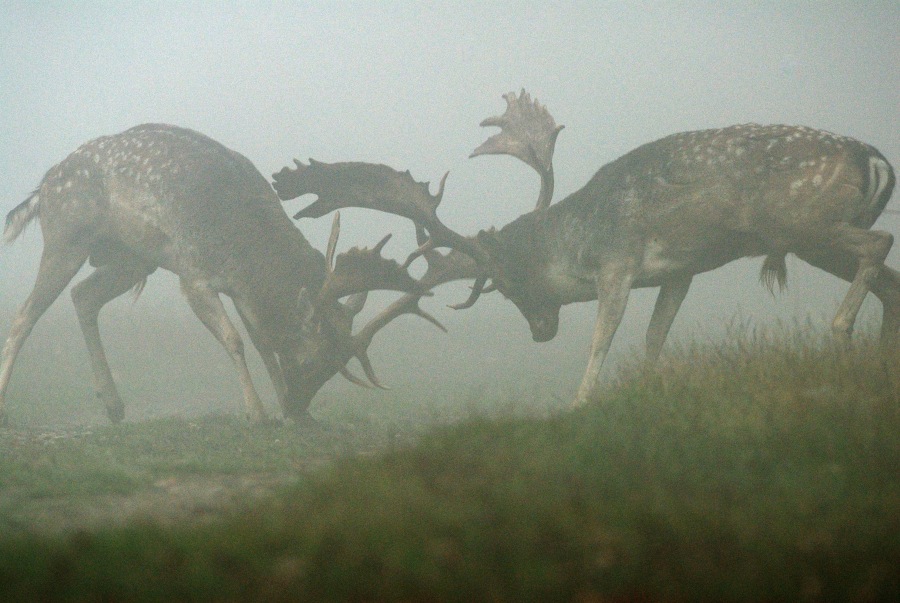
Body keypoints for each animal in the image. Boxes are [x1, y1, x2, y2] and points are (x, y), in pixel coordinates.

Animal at [0, 124, 429, 427]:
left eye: (334, 369)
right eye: (313, 362)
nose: (297, 405)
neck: (245, 248)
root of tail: (42, 187)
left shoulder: (241, 290)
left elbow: (262, 342)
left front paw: (285, 408)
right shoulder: (193, 273)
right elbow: (234, 340)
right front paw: (258, 413)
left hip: (133, 259)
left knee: (83, 296)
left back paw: (114, 405)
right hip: (66, 238)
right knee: (25, 314)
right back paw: (7, 403)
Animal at [272, 90, 899, 407]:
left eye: (505, 286)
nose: (539, 333)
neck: (574, 240)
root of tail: (875, 159)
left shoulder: (618, 263)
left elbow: (604, 338)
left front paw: (580, 402)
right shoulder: (681, 269)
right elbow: (654, 335)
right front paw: (646, 387)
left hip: (803, 222)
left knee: (882, 242)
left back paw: (842, 332)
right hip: (813, 239)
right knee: (889, 274)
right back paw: (876, 356)